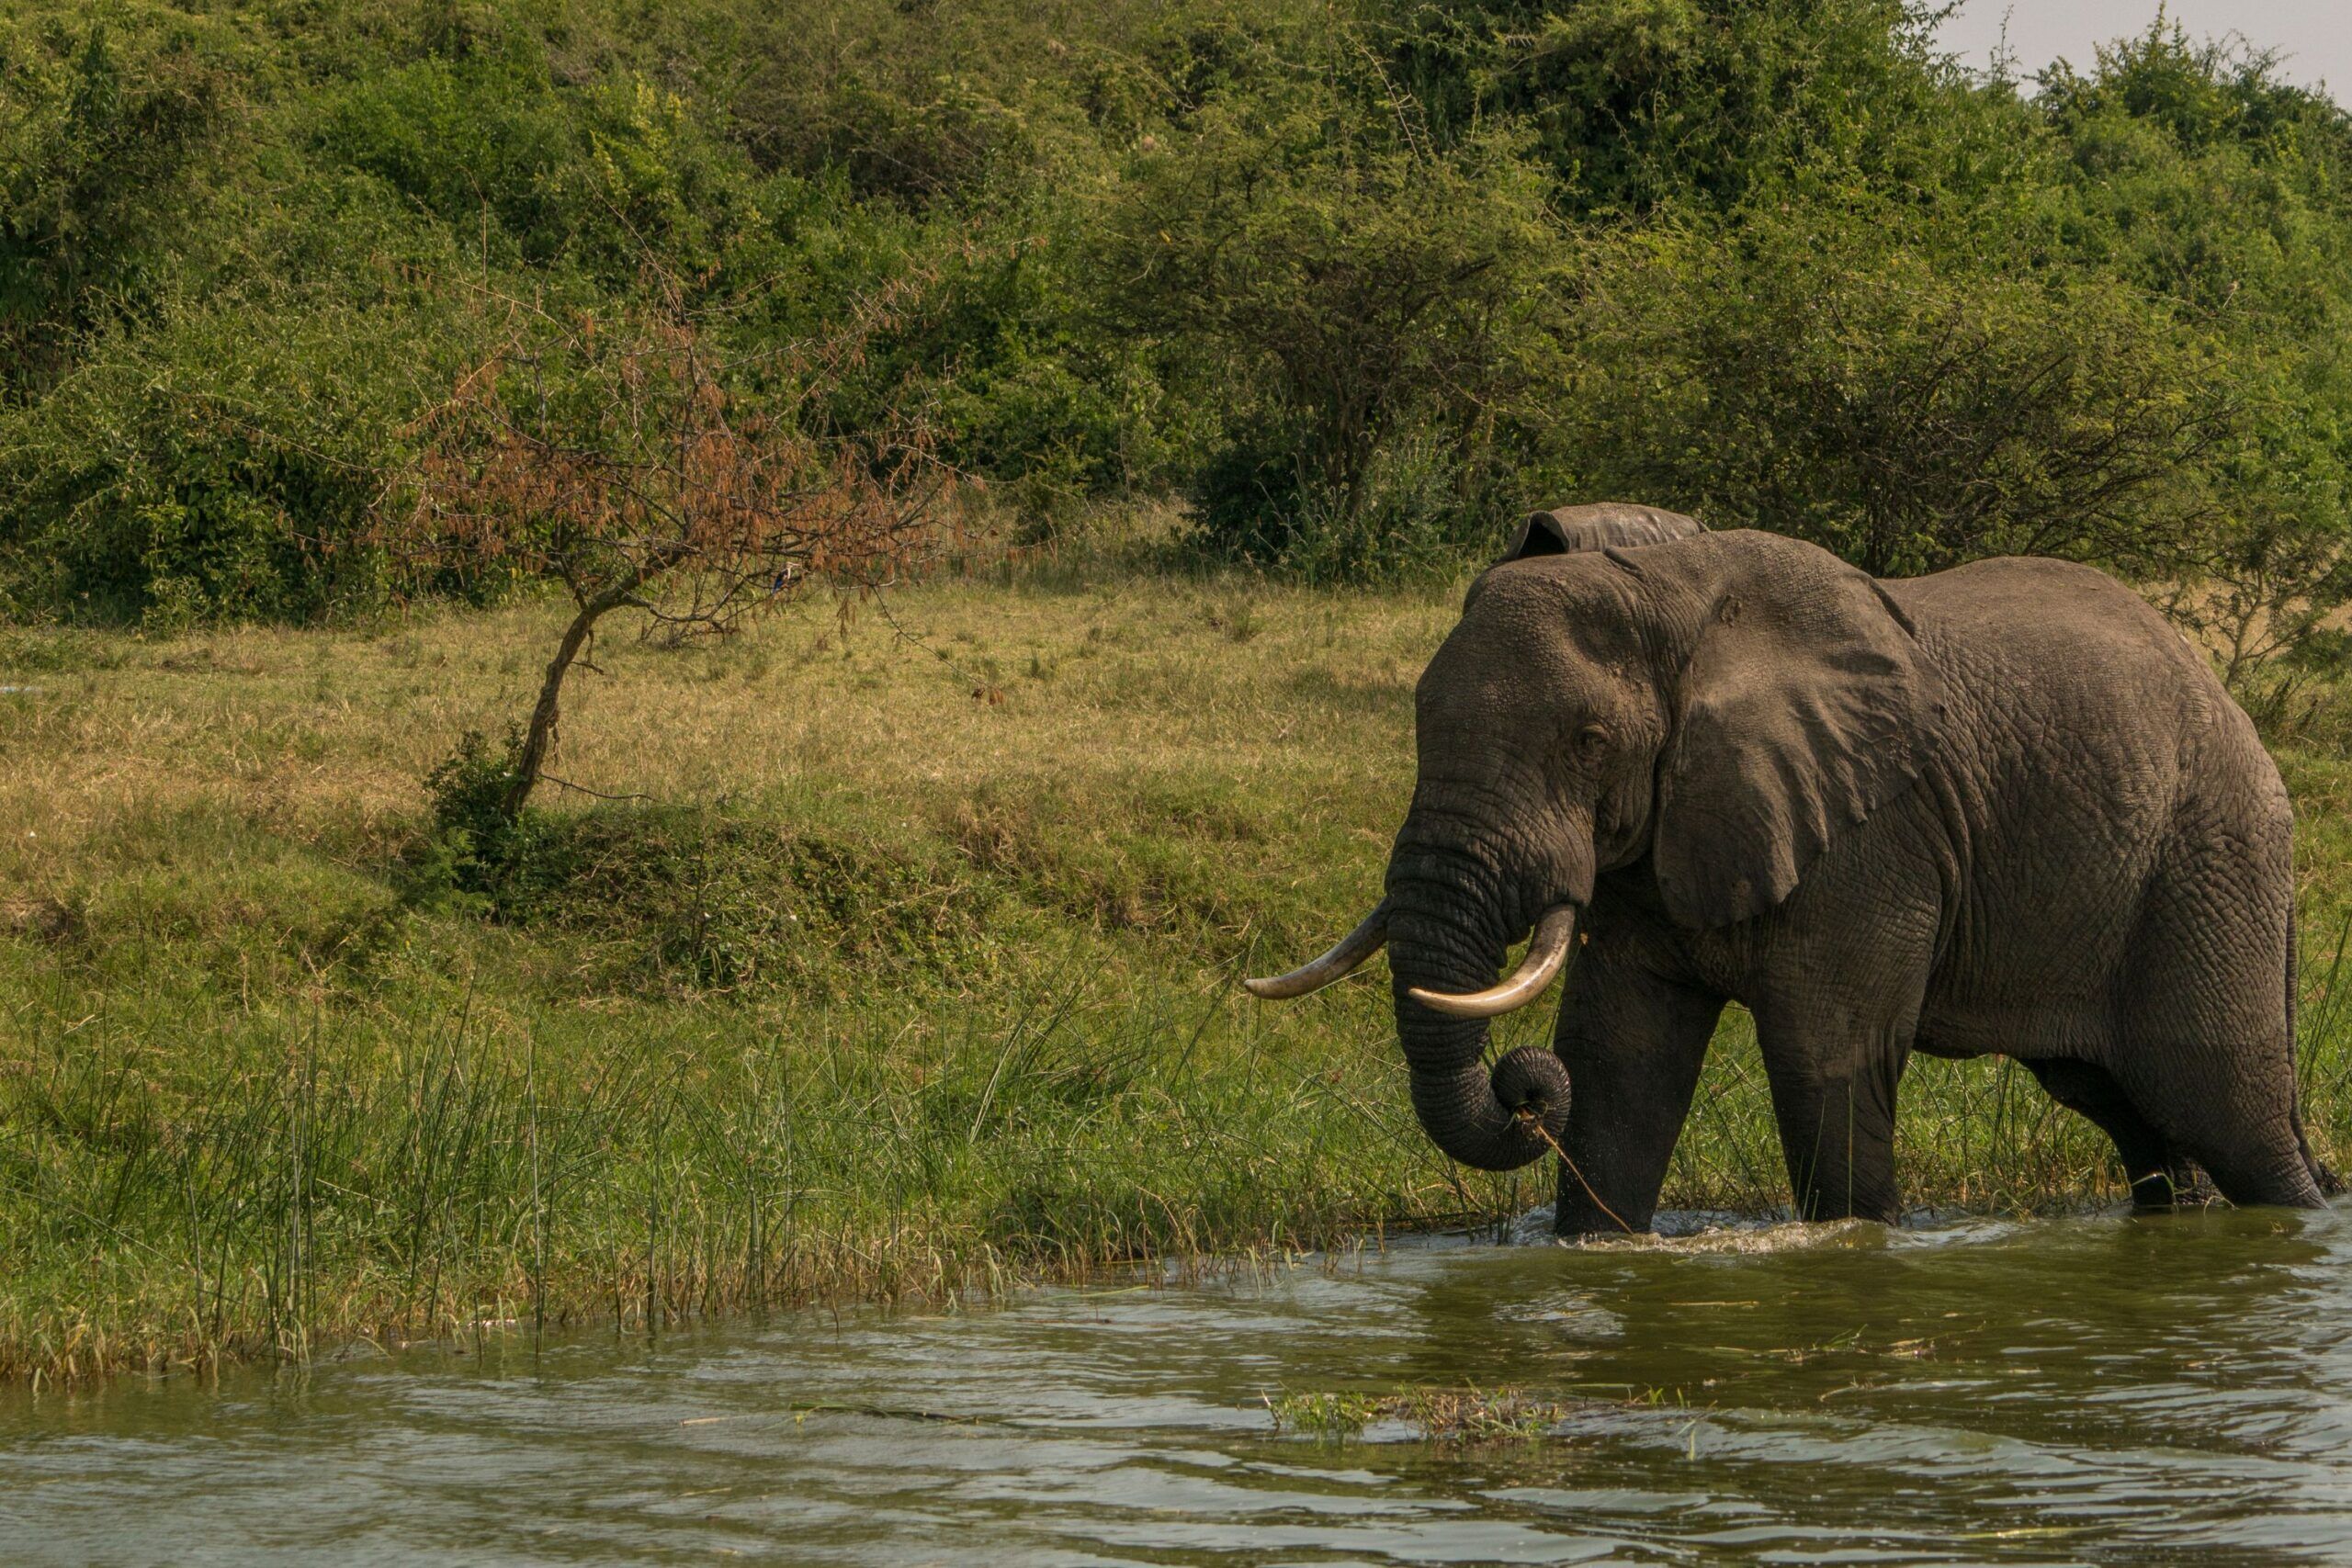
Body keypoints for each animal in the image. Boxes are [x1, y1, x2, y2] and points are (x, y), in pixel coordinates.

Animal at [1247, 509, 2334, 1233]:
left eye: (1588, 741)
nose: (1521, 1086)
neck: (1667, 592)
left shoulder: (1871, 834)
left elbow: (1827, 1060)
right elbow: (1616, 1065)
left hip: (2206, 866)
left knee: (2229, 1112)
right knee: (2136, 1119)